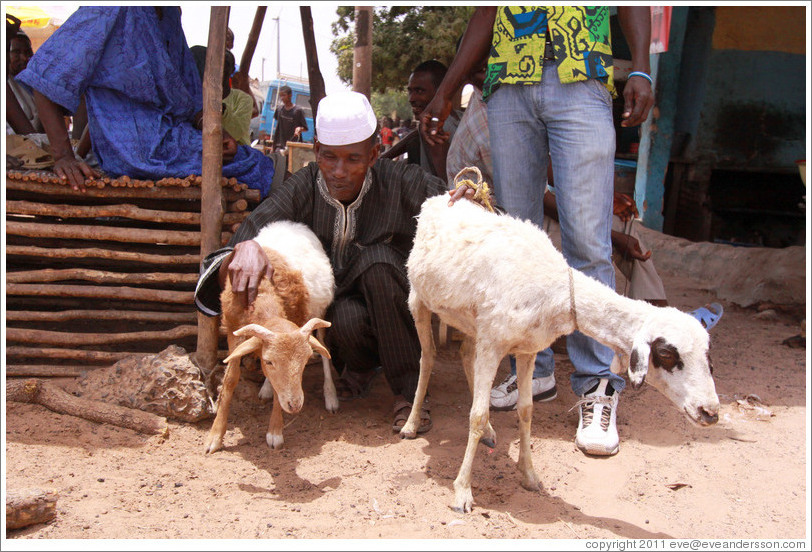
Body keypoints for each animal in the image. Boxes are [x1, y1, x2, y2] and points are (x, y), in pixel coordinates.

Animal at [206, 220, 340, 452]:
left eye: (305, 362)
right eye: (269, 361)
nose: (295, 405)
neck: (262, 291)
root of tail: (293, 224)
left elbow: (281, 391)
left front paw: (275, 432)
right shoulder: (234, 330)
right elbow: (230, 379)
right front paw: (215, 435)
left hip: (321, 312)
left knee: (324, 349)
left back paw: (330, 395)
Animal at [398, 194, 716, 512]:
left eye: (707, 356)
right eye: (667, 354)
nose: (710, 412)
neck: (555, 292)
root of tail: (442, 196)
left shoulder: (526, 349)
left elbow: (526, 410)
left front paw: (529, 476)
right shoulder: (493, 342)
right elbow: (476, 414)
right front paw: (463, 491)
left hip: (469, 319)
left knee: (465, 354)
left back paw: (487, 431)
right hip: (419, 299)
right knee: (428, 356)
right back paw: (411, 424)